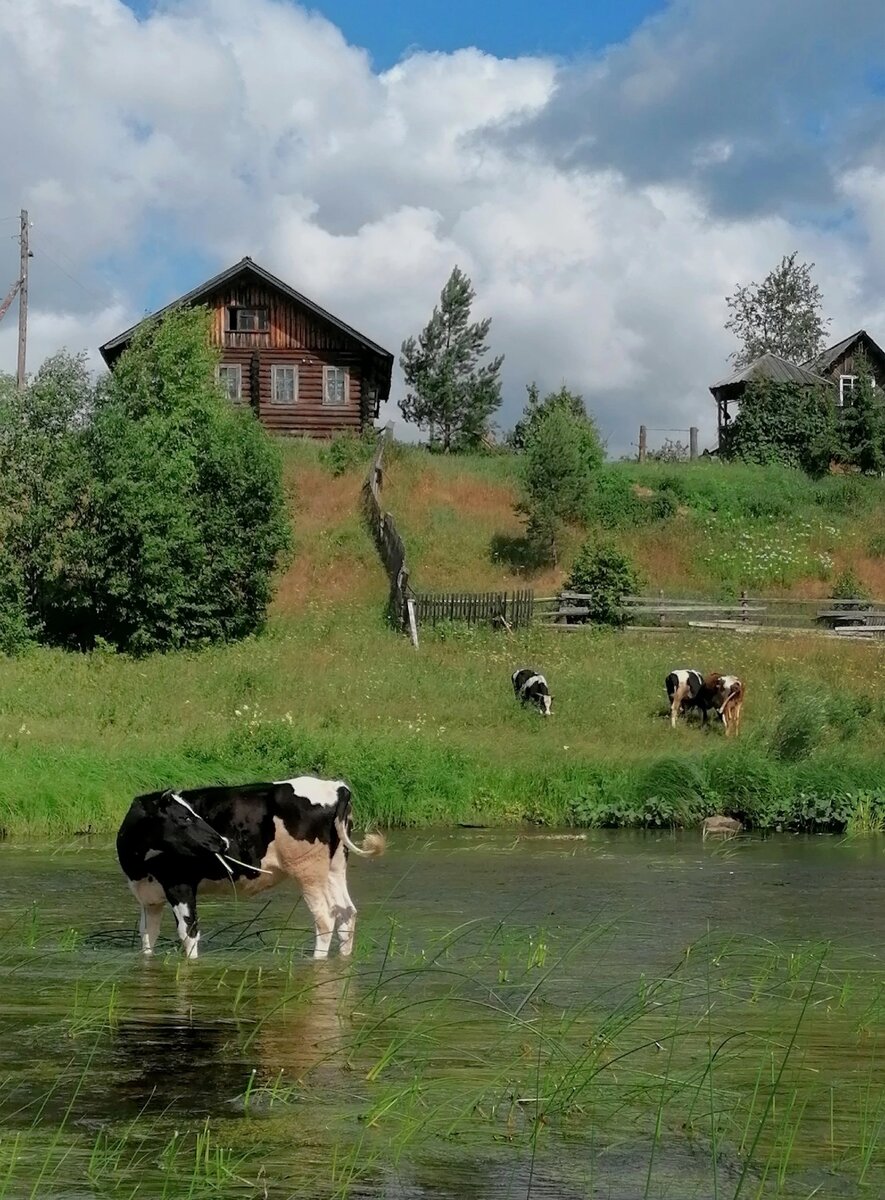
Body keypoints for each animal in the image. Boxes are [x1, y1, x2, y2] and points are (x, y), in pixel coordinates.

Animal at [114, 777, 383, 964]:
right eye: (185, 817)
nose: (223, 841)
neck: (138, 864)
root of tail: (336, 788)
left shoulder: (180, 885)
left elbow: (188, 934)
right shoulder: (148, 897)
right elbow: (147, 937)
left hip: (309, 871)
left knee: (325, 917)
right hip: (335, 868)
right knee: (346, 912)